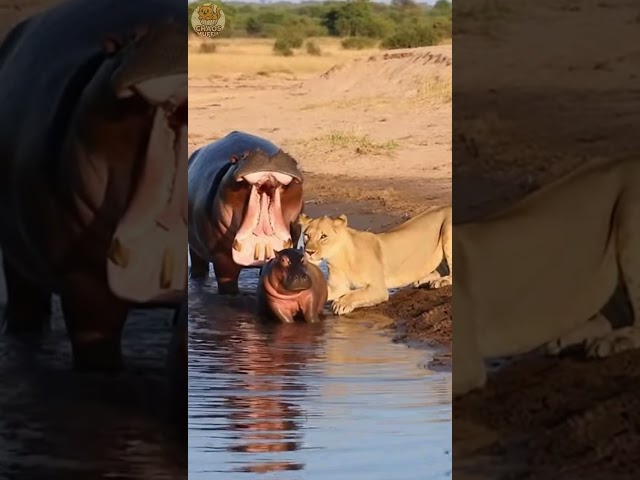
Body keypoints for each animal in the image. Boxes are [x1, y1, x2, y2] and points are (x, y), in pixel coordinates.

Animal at [0, 0, 187, 371]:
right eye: (121, 43)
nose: (176, 25)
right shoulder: (84, 286)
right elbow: (96, 355)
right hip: (15, 257)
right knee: (23, 297)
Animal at [188, 131, 304, 294]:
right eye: (235, 159)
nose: (269, 155)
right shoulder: (222, 259)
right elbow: (227, 284)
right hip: (195, 248)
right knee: (197, 262)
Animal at [298, 205, 452, 315]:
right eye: (306, 235)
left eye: (323, 236)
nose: (309, 252)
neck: (338, 259)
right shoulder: (338, 286)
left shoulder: (379, 289)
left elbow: (357, 293)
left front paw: (342, 303)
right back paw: (422, 280)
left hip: (447, 230)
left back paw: (440, 281)